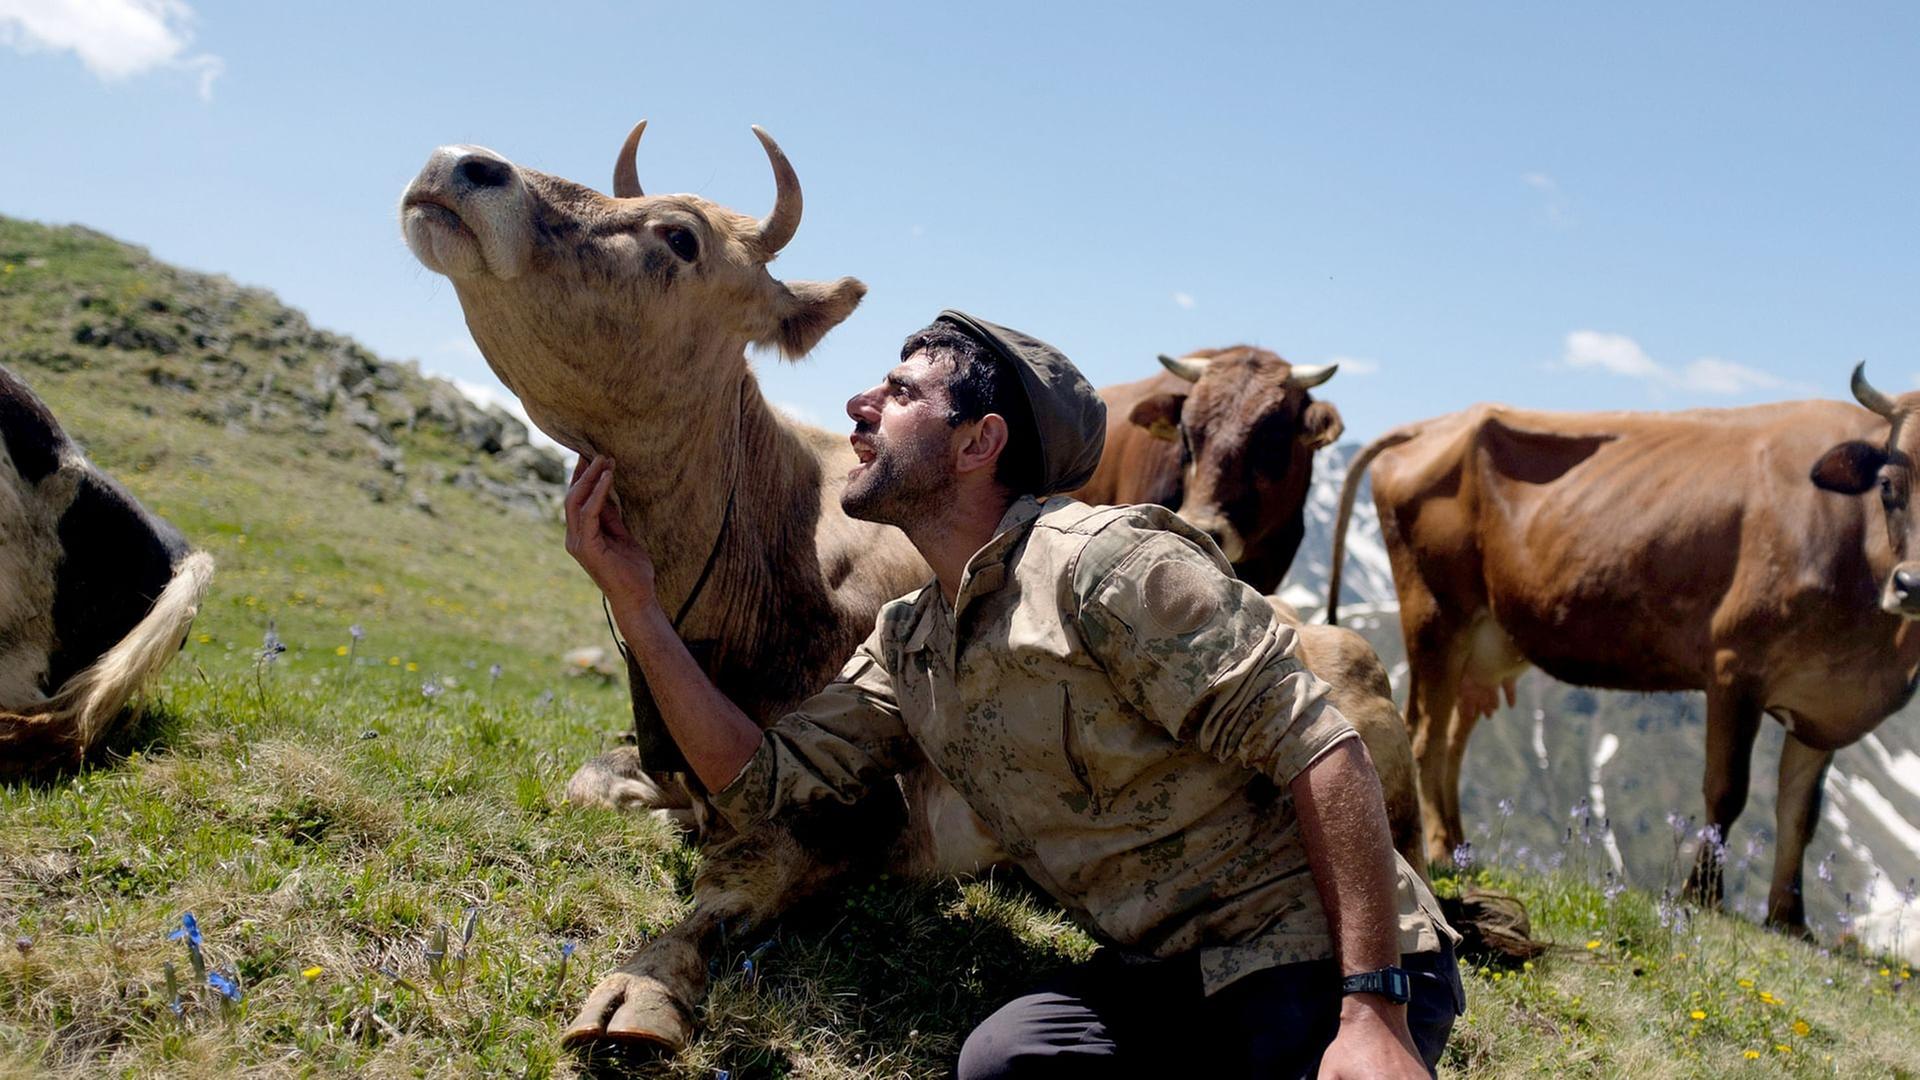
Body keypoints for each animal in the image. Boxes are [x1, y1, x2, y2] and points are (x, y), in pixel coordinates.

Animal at [1325, 365, 1920, 929]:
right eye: (1888, 486)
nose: (1912, 584)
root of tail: (1437, 422)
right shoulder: (1735, 668)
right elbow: (1727, 790)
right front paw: (1703, 895)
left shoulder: (1822, 705)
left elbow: (1800, 812)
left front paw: (1789, 918)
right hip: (1436, 612)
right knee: (1424, 736)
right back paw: (1438, 856)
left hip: (1483, 641)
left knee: (1450, 742)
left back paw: (1455, 846)